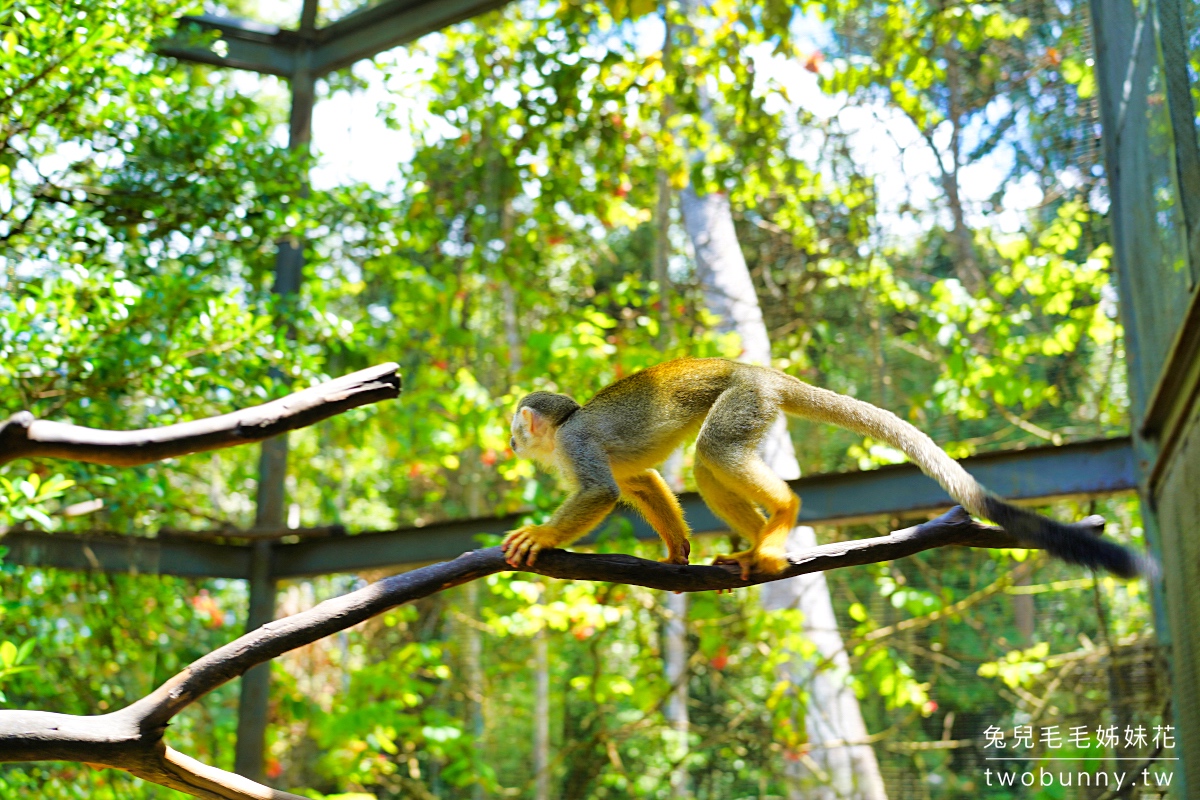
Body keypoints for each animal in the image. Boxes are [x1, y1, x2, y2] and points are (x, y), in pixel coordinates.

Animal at [499, 357, 1152, 582]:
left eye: (515, 427)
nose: (509, 443)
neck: (561, 433)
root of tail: (762, 370)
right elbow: (636, 481)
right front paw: (676, 547)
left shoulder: (575, 442)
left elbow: (601, 490)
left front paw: (540, 536)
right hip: (755, 405)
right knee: (708, 466)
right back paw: (755, 544)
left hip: (746, 398)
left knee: (713, 453)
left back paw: (784, 514)